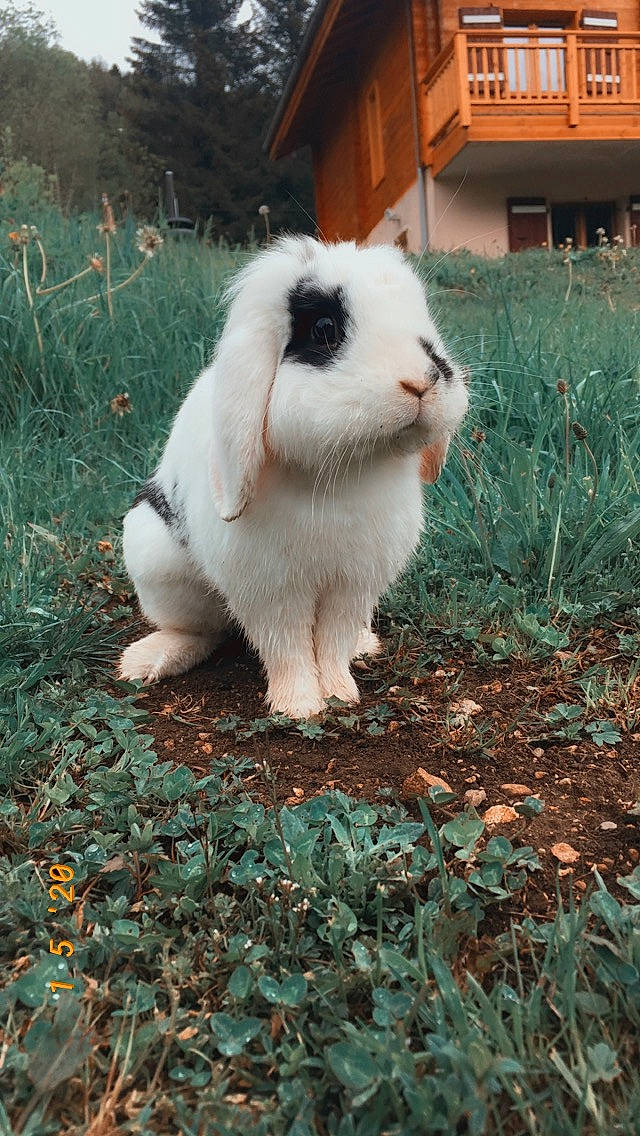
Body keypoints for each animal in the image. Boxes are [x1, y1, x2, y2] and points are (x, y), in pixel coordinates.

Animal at [119, 236, 468, 719]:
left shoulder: (354, 584)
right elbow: (287, 648)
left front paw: (340, 694)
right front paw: (299, 706)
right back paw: (145, 660)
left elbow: (333, 641)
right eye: (324, 329)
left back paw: (364, 645)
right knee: (202, 630)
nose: (421, 381)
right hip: (158, 567)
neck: (341, 474)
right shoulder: (271, 590)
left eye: (425, 323)